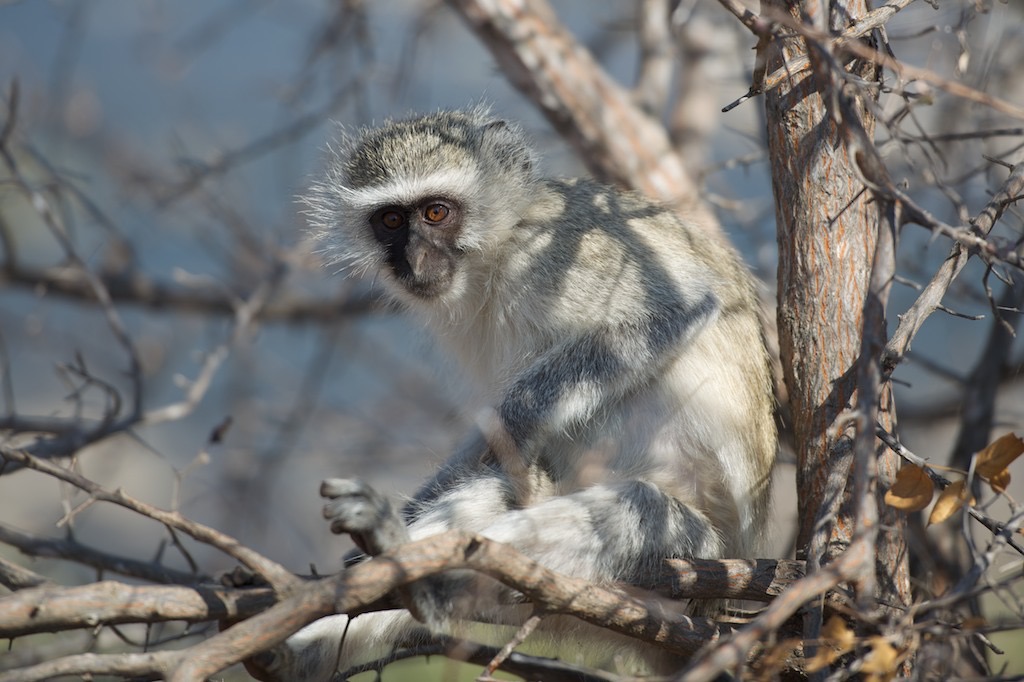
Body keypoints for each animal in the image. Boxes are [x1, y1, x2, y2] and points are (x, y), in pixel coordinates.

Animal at [256, 109, 774, 675]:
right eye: (390, 221)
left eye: (436, 212)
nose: (414, 258)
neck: (498, 250)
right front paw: (411, 509)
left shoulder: (559, 253)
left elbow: (677, 306)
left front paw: (514, 423)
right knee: (496, 490)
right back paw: (300, 647)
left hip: (694, 568)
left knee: (631, 510)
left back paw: (417, 572)